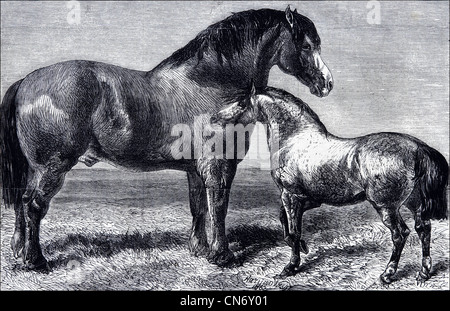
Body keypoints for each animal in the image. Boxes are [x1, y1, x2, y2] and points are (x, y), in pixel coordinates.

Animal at [0, 6, 334, 270]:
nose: (327, 84)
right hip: (52, 167)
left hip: (36, 169)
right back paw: (36, 260)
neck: (211, 82)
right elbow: (218, 206)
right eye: (307, 45)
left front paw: (200, 249)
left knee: (22, 201)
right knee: (34, 206)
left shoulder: (196, 170)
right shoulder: (218, 167)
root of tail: (26, 82)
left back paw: (19, 251)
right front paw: (222, 255)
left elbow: (199, 207)